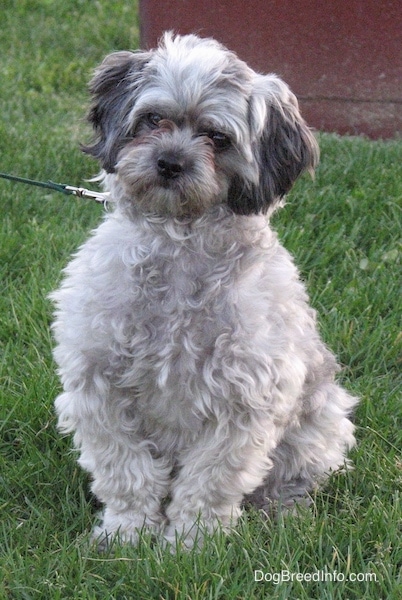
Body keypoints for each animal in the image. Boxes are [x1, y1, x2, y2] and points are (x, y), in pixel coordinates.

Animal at [51, 31, 358, 548]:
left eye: (217, 137)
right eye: (153, 119)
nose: (170, 162)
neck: (179, 248)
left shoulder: (245, 401)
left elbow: (210, 479)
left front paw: (190, 545)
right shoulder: (99, 387)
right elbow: (126, 470)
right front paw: (128, 533)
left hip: (321, 419)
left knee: (292, 480)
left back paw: (285, 515)